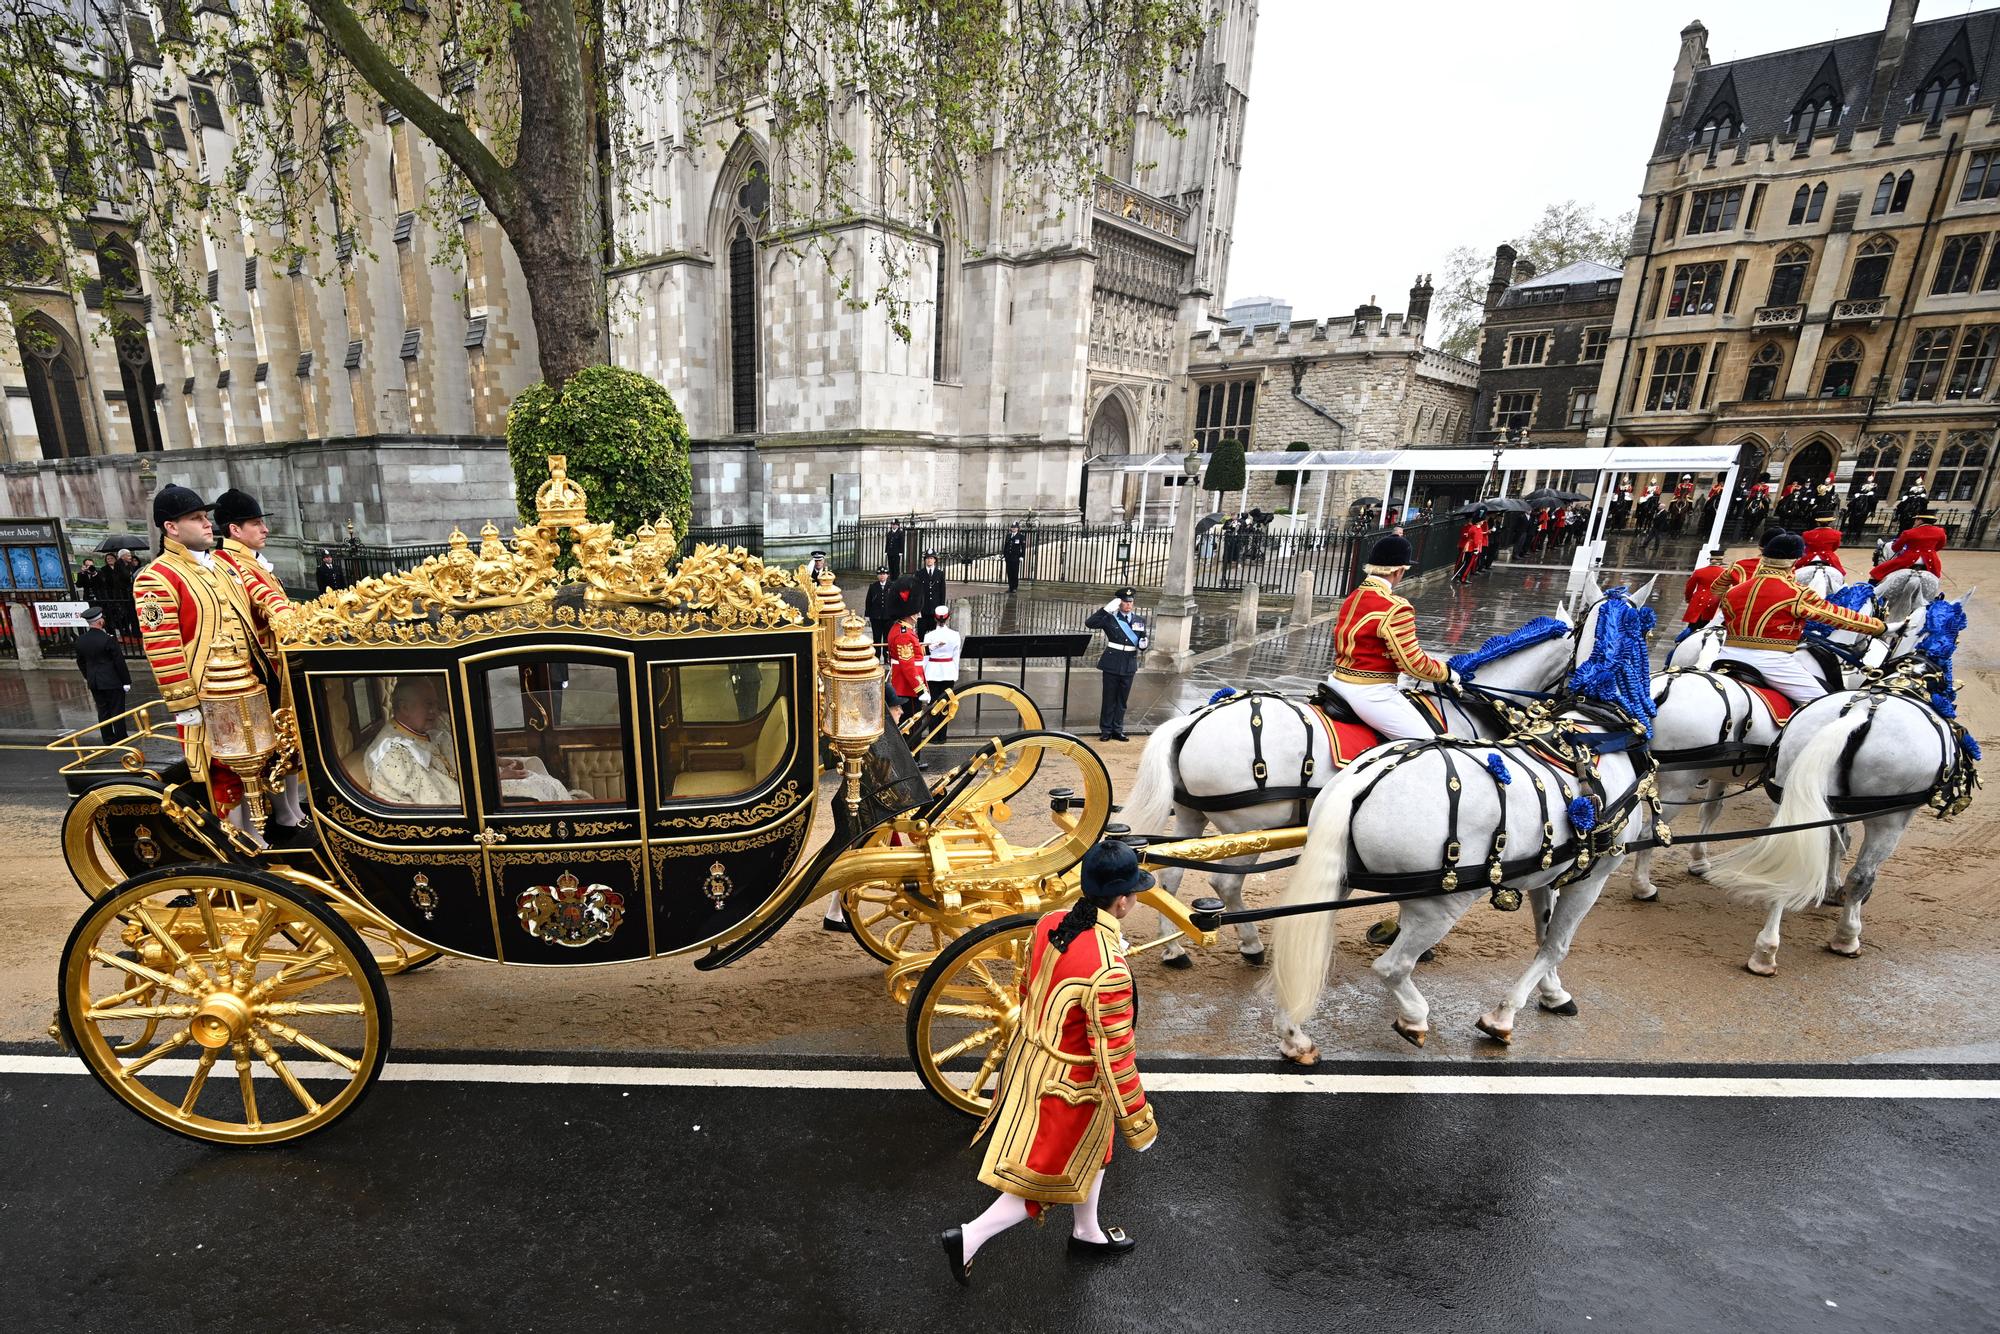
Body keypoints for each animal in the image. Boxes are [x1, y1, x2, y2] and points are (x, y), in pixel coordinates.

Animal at [1128, 580, 1656, 964]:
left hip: (1194, 817)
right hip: (1254, 825)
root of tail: (1193, 718)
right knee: (1222, 886)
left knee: (1170, 878)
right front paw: (1401, 935)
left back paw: (1176, 949)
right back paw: (1251, 946)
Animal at [1264, 588, 1656, 1056]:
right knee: (1391, 967)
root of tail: (1364, 776)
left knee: (1298, 948)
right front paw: (1504, 1016)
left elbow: (1543, 937)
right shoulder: (1592, 876)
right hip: (1442, 902)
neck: (1596, 730)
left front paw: (1552, 993)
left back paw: (1294, 1034)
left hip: (1339, 879)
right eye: (1648, 635)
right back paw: (1413, 1017)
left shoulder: (1551, 871)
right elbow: (1557, 945)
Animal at [1696, 600, 1976, 976]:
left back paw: (1764, 951)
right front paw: (1843, 910)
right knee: (1861, 874)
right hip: (1889, 819)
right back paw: (1843, 938)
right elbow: (1851, 859)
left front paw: (1827, 886)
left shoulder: (1828, 805)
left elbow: (1834, 842)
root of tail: (1860, 712)